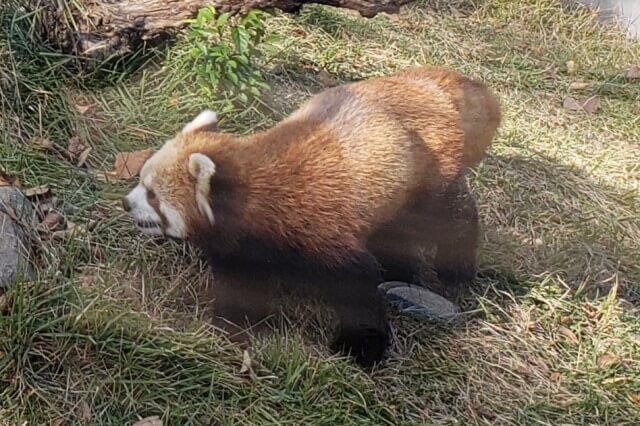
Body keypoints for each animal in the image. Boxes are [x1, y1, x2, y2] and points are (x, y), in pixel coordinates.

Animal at [120, 66, 500, 366]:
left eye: (152, 195)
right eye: (141, 181)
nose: (126, 203)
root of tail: (431, 85)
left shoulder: (321, 229)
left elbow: (358, 284)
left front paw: (362, 348)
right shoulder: (243, 249)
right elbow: (241, 286)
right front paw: (233, 327)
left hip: (430, 175)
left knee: (451, 219)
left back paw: (456, 269)